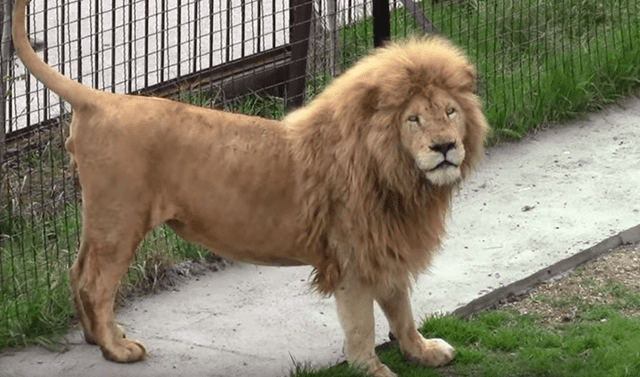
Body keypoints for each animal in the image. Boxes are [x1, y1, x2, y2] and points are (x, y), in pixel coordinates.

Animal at [13, 0, 484, 374]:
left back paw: (100, 336)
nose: (445, 147)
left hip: (104, 219)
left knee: (78, 273)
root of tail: (101, 99)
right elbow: (361, 325)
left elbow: (402, 310)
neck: (399, 175)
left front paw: (422, 351)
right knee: (95, 284)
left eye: (450, 111)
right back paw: (116, 349)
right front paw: (372, 369)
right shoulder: (352, 256)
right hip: (121, 219)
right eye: (414, 119)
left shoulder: (385, 245)